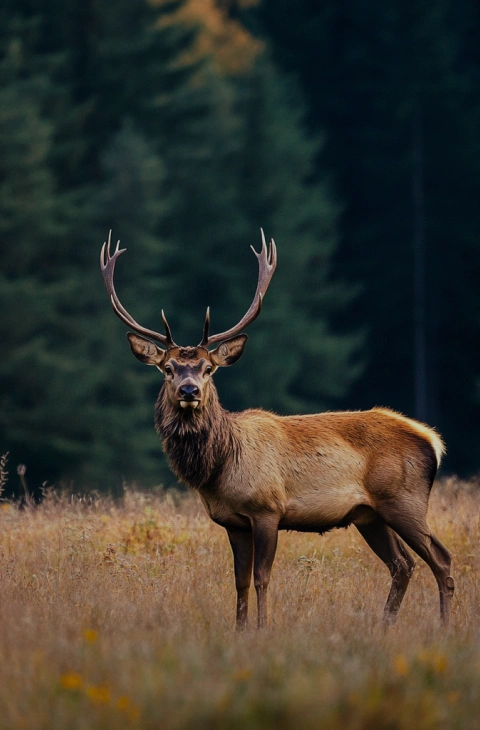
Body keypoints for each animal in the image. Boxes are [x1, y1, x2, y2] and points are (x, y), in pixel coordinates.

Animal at [100, 230, 455, 630]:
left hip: (404, 500)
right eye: (168, 368)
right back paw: (385, 625)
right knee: (403, 564)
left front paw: (262, 628)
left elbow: (261, 577)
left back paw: (444, 626)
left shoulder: (268, 508)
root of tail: (432, 440)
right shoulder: (233, 523)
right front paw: (239, 630)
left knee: (440, 558)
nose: (189, 391)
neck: (221, 466)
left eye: (208, 369)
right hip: (370, 515)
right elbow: (239, 581)